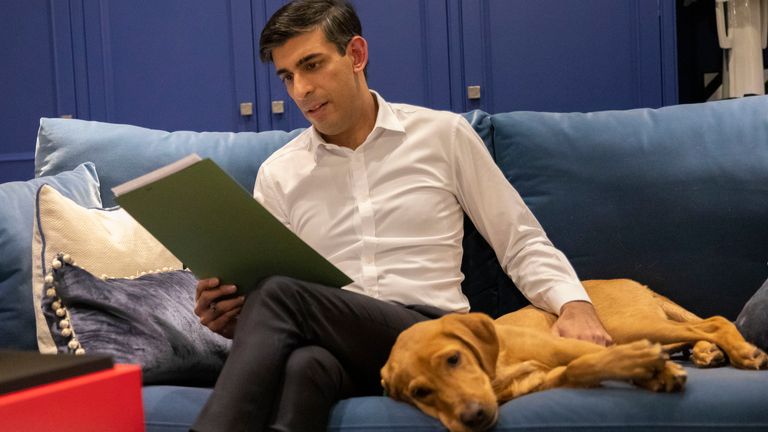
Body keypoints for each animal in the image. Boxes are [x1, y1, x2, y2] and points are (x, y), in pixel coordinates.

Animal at [382, 280, 768, 432]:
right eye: (420, 393)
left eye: (453, 359)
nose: (473, 417)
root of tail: (633, 283)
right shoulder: (553, 376)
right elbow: (584, 368)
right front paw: (654, 373)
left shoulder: (575, 344)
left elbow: (597, 358)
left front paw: (657, 373)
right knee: (696, 331)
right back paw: (708, 352)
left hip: (632, 326)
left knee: (714, 321)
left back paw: (741, 351)